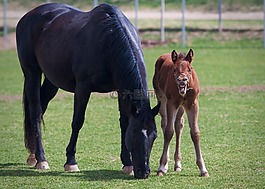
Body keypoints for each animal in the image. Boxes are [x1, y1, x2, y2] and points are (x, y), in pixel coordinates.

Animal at [16, 3, 160, 180]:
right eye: (134, 134)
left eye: (154, 136)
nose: (144, 172)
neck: (108, 41)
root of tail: (27, 16)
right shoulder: (82, 88)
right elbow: (77, 121)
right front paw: (71, 162)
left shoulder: (120, 90)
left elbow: (124, 122)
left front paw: (127, 163)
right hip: (32, 73)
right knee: (36, 112)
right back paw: (41, 159)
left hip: (51, 80)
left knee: (41, 107)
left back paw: (32, 155)